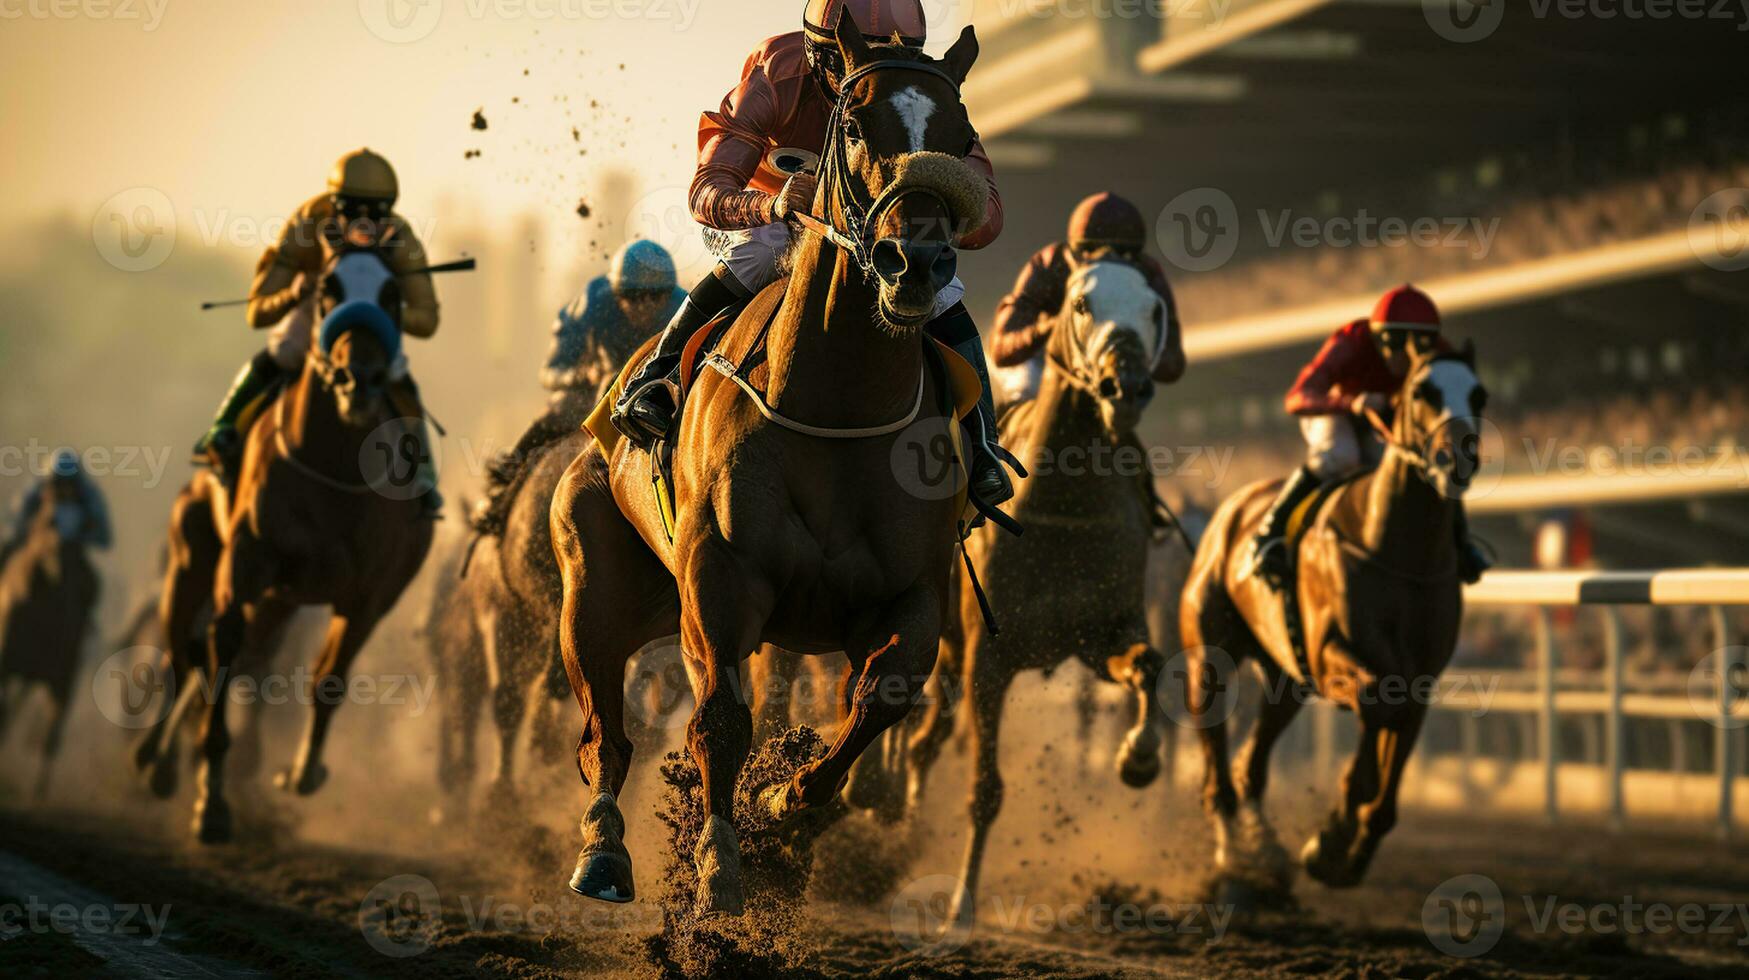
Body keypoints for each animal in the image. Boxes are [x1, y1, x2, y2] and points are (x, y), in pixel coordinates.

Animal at [0, 486, 101, 801]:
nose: (58, 563)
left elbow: (51, 731)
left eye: (78, 532)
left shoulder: (62, 673)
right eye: (47, 520)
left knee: (49, 730)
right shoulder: (7, 660)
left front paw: (38, 793)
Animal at [155, 245, 435, 843]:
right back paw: (158, 761)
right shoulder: (244, 564)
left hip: (281, 602)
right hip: (192, 562)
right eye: (327, 289)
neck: (334, 468)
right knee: (183, 654)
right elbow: (220, 647)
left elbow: (328, 678)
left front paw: (302, 772)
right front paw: (211, 802)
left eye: (392, 295)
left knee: (236, 658)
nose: (360, 378)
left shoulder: (370, 597)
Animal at [556, 19, 993, 917]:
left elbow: (875, 703)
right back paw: (604, 850)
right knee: (604, 732)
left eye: (961, 136)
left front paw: (780, 805)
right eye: (856, 125)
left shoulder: (914, 593)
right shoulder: (721, 577)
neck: (839, 409)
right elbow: (721, 718)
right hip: (597, 589)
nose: (915, 264)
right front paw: (720, 863)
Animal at [902, 260, 1175, 924]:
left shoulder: (1102, 634)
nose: (1127, 388)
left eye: (1154, 308)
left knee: (926, 741)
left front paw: (1138, 757)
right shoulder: (989, 658)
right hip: (948, 646)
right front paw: (961, 905)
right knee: (917, 735)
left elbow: (1149, 665)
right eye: (1081, 303)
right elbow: (985, 787)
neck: (1066, 506)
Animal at [1182, 344, 1483, 889]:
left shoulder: (1421, 676)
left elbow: (1391, 746)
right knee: (1218, 763)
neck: (1399, 551)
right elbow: (1377, 707)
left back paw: (1263, 850)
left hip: (1285, 678)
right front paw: (1334, 833)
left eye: (1479, 394)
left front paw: (1348, 852)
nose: (1459, 457)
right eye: (1423, 391)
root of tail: (1229, 508)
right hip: (1209, 658)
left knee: (1251, 764)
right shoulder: (1331, 656)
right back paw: (1234, 853)